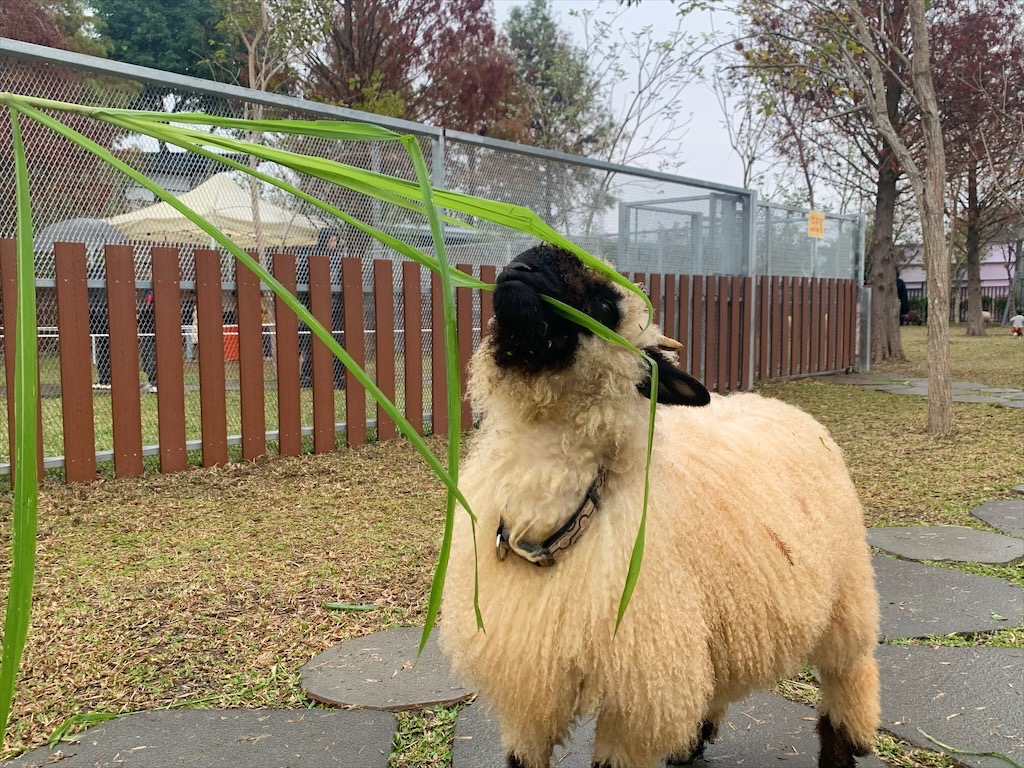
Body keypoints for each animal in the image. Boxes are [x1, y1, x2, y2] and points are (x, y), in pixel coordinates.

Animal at [440, 244, 880, 768]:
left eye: (605, 305)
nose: (520, 268)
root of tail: (782, 405)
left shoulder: (639, 696)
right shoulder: (529, 685)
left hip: (846, 595)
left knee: (849, 676)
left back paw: (845, 742)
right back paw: (691, 744)